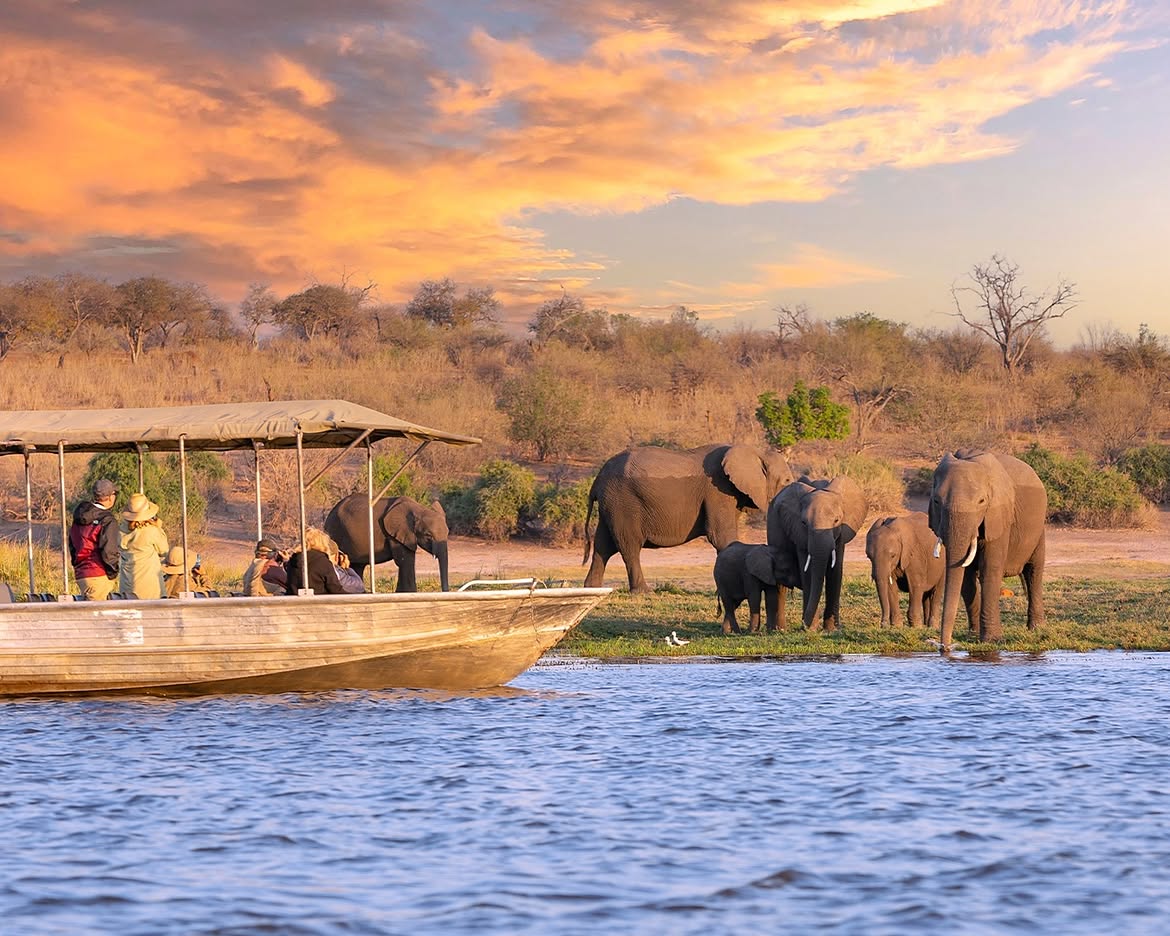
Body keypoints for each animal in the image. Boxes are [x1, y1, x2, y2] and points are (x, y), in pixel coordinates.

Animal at [583, 444, 793, 592]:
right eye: (787, 481)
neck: (754, 450)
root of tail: (597, 480)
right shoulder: (717, 490)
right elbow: (720, 536)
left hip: (611, 504)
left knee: (603, 545)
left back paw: (592, 589)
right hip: (623, 502)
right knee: (629, 546)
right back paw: (643, 592)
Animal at [766, 476, 868, 632]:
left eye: (836, 520)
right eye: (804, 523)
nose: (804, 625)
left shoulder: (840, 535)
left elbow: (835, 572)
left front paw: (832, 629)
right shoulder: (799, 533)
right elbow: (808, 573)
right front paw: (811, 628)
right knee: (780, 584)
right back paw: (778, 629)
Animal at [928, 449, 1047, 647]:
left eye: (981, 501)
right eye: (936, 501)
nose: (945, 646)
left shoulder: (999, 516)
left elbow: (990, 569)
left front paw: (992, 641)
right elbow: (966, 576)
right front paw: (973, 636)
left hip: (1039, 529)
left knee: (1034, 572)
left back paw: (1036, 628)